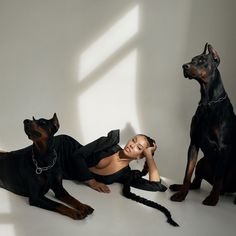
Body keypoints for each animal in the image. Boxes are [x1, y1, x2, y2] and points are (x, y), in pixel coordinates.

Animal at [170, 43, 236, 206]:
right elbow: (187, 172)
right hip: (202, 162)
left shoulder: (223, 147)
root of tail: (226, 191)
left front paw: (212, 199)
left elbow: (219, 176)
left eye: (201, 60)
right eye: (192, 59)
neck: (208, 101)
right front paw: (181, 194)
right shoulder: (194, 142)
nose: (184, 66)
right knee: (196, 182)